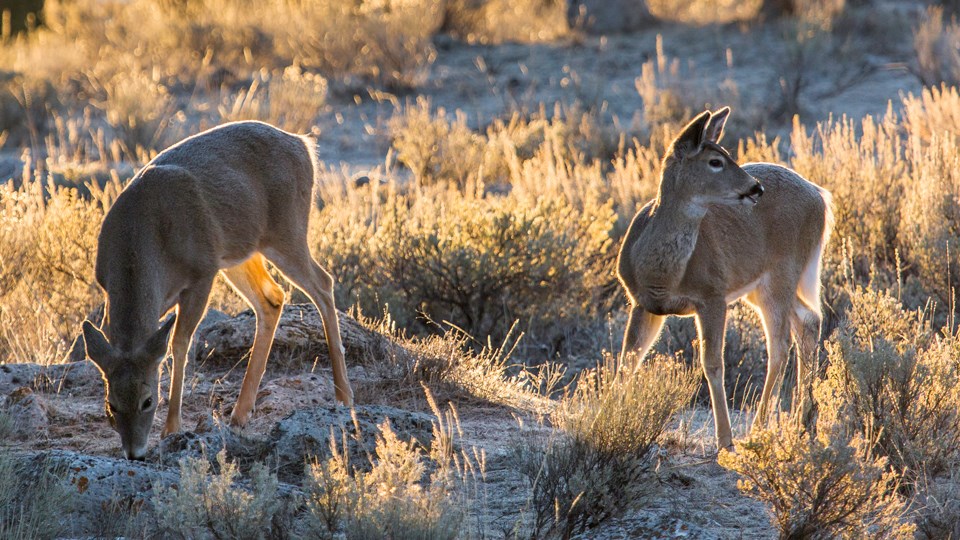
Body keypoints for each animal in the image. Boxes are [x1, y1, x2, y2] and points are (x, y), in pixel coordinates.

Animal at [81, 121, 352, 460]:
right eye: (112, 405)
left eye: (148, 400)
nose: (135, 454)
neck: (142, 239)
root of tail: (303, 145)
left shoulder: (201, 274)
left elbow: (179, 343)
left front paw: (172, 427)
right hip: (241, 252)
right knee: (272, 298)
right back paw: (240, 413)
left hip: (286, 232)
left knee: (323, 284)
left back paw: (343, 395)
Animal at [620, 107, 828, 450]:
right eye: (715, 161)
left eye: (728, 154)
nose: (756, 188)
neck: (661, 273)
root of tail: (822, 197)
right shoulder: (642, 302)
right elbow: (629, 359)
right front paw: (606, 412)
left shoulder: (713, 295)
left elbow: (713, 363)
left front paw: (725, 440)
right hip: (762, 285)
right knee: (808, 320)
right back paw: (803, 420)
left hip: (783, 271)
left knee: (780, 345)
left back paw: (759, 428)